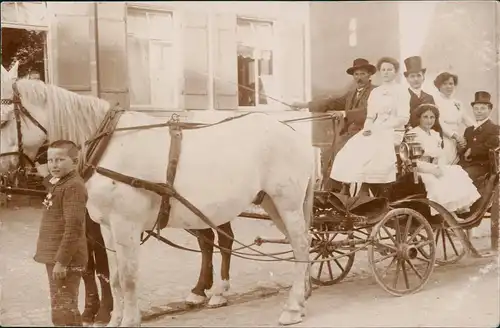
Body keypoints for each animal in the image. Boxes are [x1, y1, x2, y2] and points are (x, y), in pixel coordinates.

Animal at [0, 73, 316, 326]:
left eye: (3, 121)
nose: (3, 172)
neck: (107, 145)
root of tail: (295, 134)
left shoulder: (125, 225)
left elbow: (127, 277)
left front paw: (128, 320)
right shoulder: (107, 227)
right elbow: (115, 277)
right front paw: (113, 319)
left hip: (285, 203)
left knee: (300, 245)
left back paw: (290, 307)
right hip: (270, 204)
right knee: (293, 244)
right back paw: (299, 298)